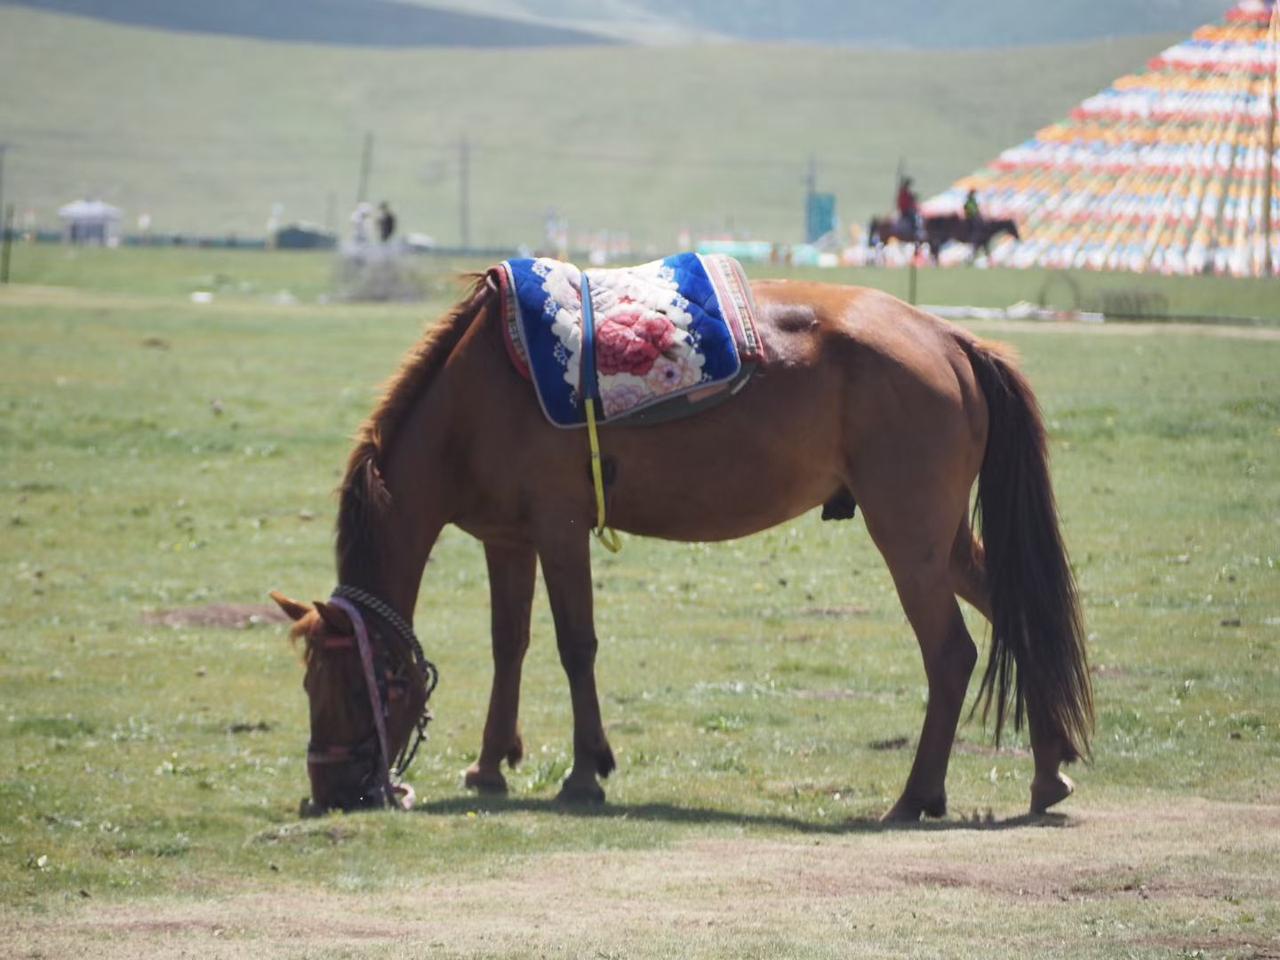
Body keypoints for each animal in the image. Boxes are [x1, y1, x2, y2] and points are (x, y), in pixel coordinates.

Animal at [271, 272, 1093, 823]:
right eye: (306, 686)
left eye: (351, 689)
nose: (330, 793)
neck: (474, 399)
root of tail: (949, 338)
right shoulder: (507, 539)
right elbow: (512, 644)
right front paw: (491, 766)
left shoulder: (560, 529)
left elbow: (575, 645)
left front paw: (585, 772)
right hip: (942, 539)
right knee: (1018, 617)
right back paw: (1047, 773)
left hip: (909, 536)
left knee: (951, 653)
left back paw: (915, 797)